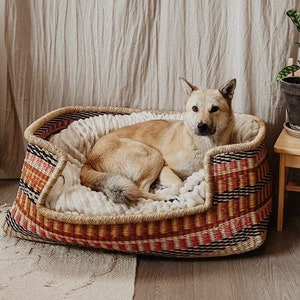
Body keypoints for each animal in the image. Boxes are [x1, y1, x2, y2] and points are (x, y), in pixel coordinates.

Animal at [80, 77, 237, 205]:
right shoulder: (165, 167)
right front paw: (168, 192)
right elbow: (179, 184)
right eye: (194, 108)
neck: (203, 144)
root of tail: (89, 161)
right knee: (140, 190)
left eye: (214, 109)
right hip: (154, 156)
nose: (201, 126)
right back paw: (165, 197)